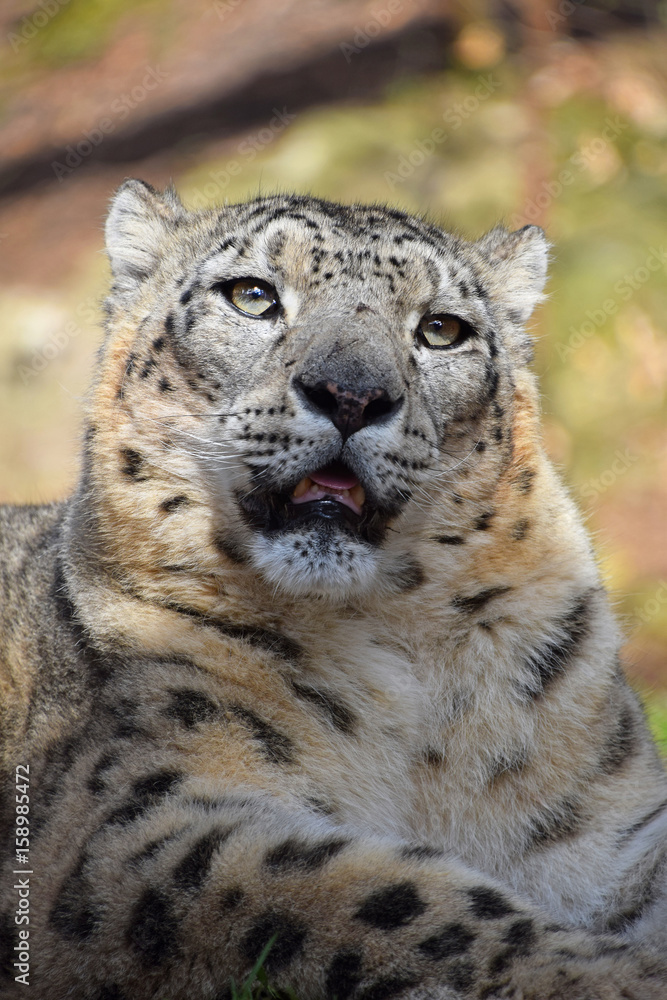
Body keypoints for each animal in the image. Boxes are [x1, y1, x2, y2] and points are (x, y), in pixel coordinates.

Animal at [0, 179, 666, 1000]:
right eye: (252, 295)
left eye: (441, 329)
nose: (352, 395)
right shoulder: (132, 828)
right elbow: (375, 896)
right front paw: (612, 974)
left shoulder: (615, 828)